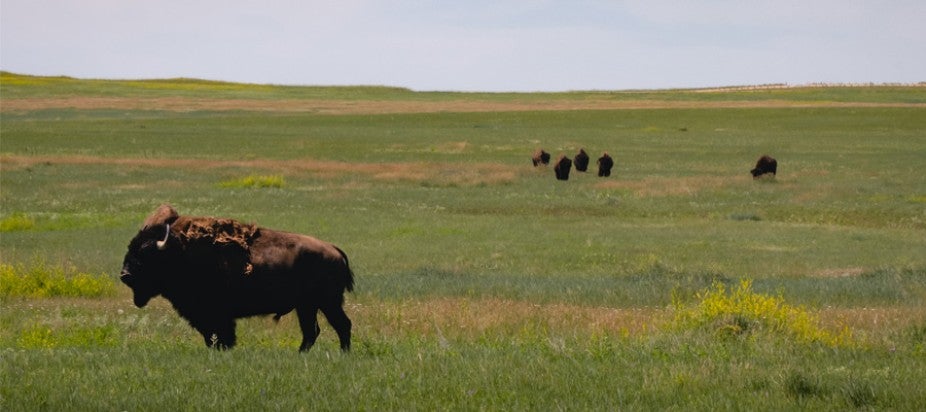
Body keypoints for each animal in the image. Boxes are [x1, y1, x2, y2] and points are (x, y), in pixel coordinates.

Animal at [119, 204, 356, 352]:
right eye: (130, 248)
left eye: (146, 253)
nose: (125, 274)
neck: (177, 250)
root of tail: (335, 250)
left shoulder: (215, 315)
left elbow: (220, 336)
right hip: (307, 306)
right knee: (312, 332)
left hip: (326, 303)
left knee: (341, 325)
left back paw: (342, 354)